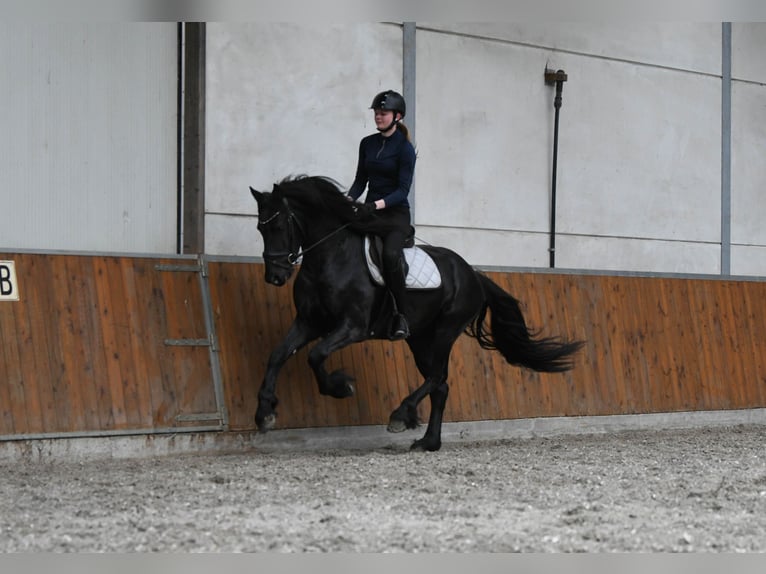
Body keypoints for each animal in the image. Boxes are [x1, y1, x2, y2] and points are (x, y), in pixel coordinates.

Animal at [249, 175, 584, 451]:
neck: (331, 256)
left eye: (278, 226)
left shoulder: (352, 327)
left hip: (445, 331)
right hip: (420, 338)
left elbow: (315, 355)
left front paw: (341, 387)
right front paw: (264, 413)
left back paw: (401, 415)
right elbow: (278, 355)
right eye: (260, 228)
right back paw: (428, 441)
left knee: (437, 377)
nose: (275, 277)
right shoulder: (309, 322)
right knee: (440, 385)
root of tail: (473, 274)